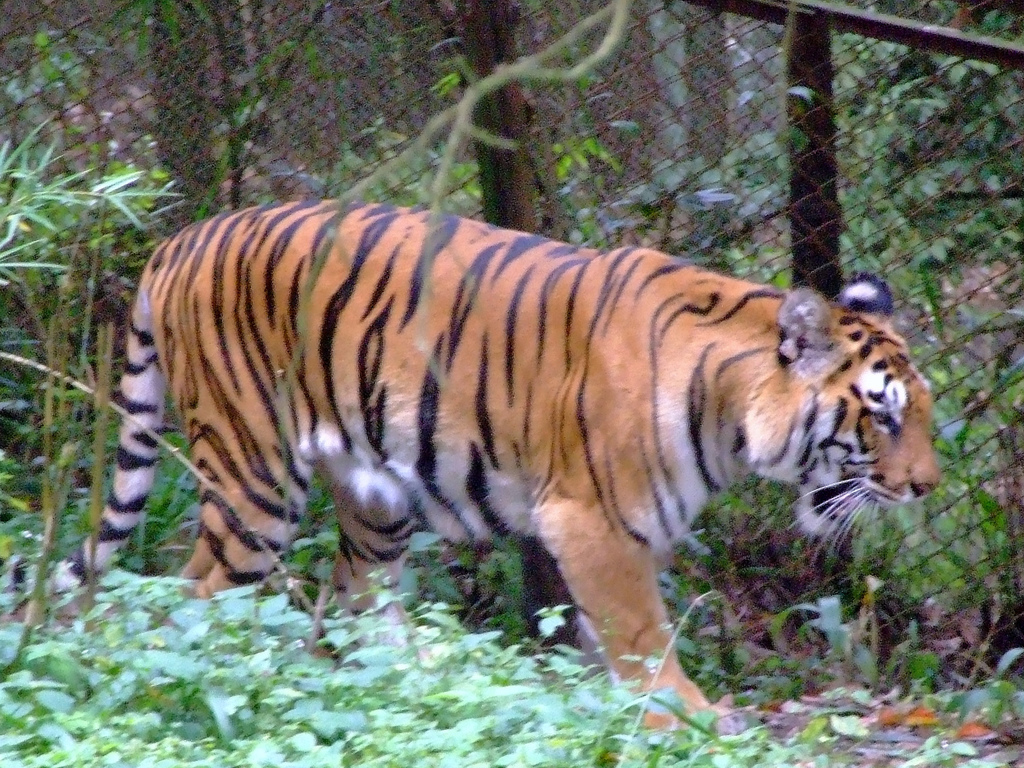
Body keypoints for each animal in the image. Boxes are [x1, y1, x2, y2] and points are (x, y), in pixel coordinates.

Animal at [58, 199, 937, 733]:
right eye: (884, 413)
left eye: (922, 411)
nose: (925, 487)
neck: (728, 410)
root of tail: (181, 239)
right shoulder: (592, 523)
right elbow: (642, 636)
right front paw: (686, 715)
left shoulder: (629, 535)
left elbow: (606, 637)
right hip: (253, 475)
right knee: (197, 592)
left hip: (376, 497)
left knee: (355, 604)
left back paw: (421, 679)